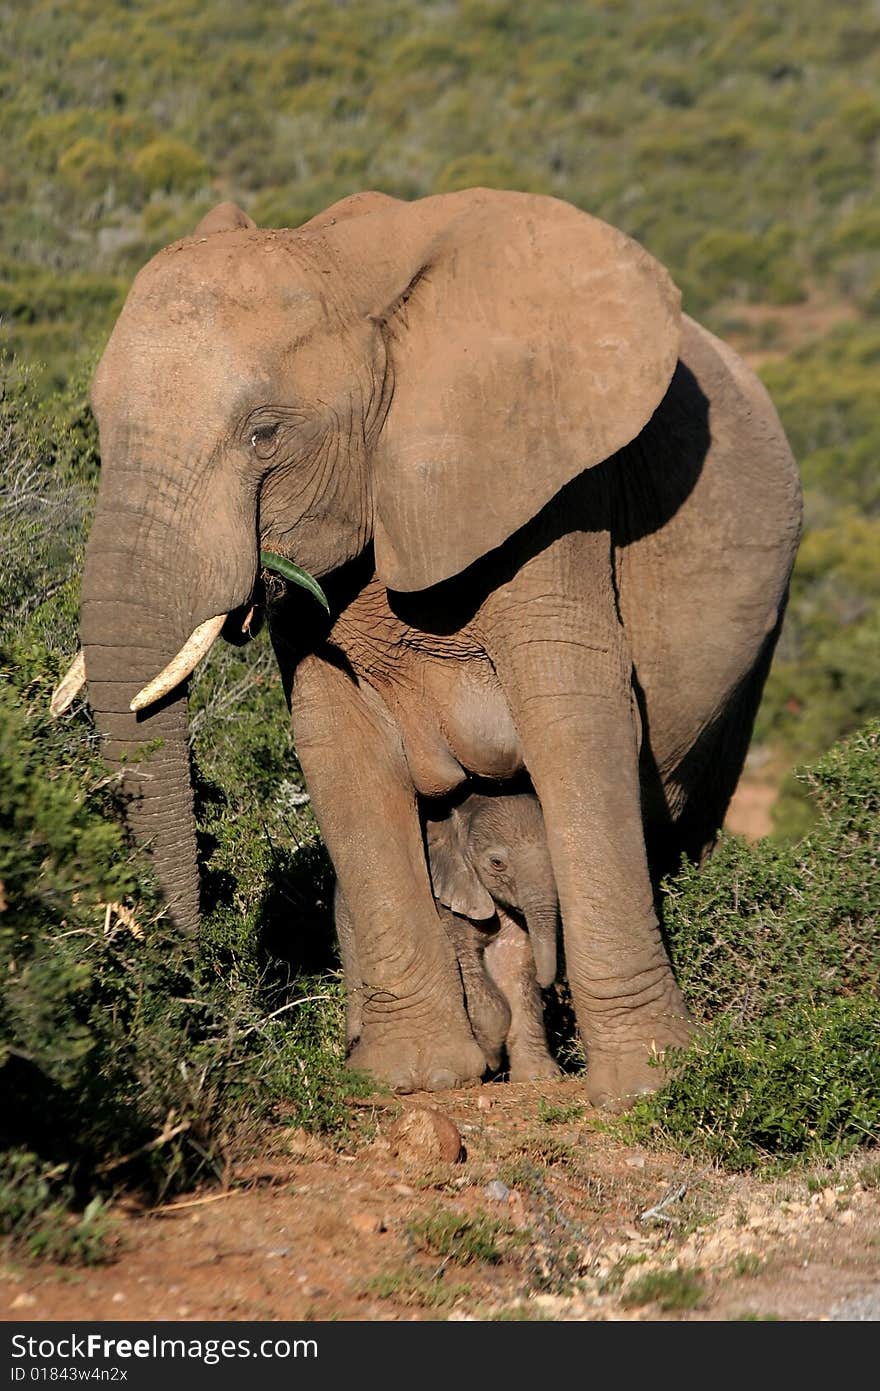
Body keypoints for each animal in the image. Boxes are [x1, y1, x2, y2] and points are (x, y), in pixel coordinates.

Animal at [51, 193, 800, 1107]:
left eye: (265, 435)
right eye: (98, 426)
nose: (179, 961)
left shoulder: (553, 490)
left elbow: (577, 725)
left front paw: (648, 1086)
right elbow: (337, 746)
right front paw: (413, 1077)